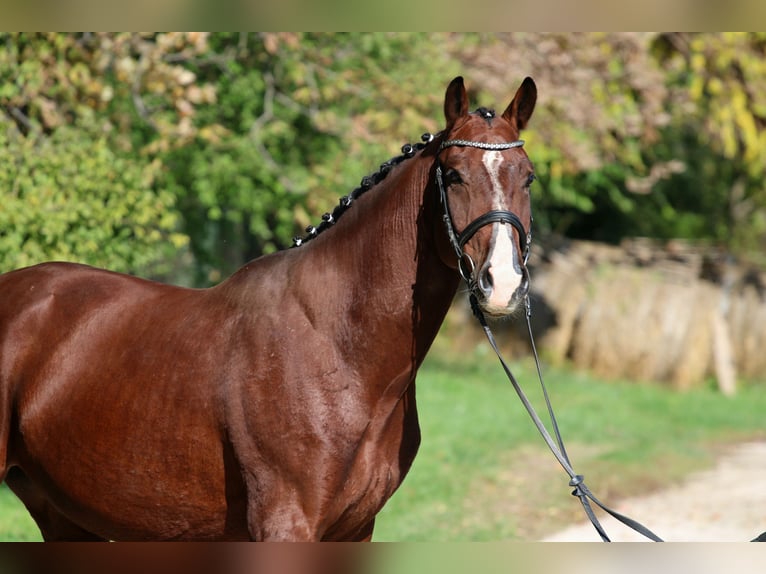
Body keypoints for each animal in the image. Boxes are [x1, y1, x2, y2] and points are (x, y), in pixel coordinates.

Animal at [0, 75, 540, 540]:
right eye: (453, 174)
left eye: (528, 178)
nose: (502, 284)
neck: (337, 347)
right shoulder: (285, 524)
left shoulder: (355, 530)